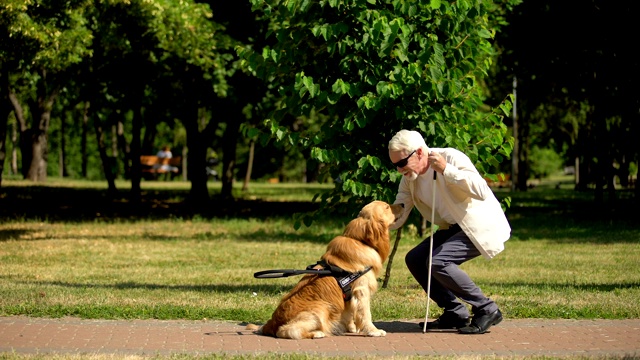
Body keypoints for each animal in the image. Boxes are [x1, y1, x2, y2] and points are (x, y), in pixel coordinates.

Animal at [256, 201, 402, 338]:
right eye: (387, 207)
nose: (402, 204)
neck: (360, 241)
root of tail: (270, 324)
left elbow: (350, 314)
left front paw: (351, 328)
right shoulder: (361, 290)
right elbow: (365, 314)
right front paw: (373, 331)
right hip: (320, 308)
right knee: (286, 331)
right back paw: (316, 333)